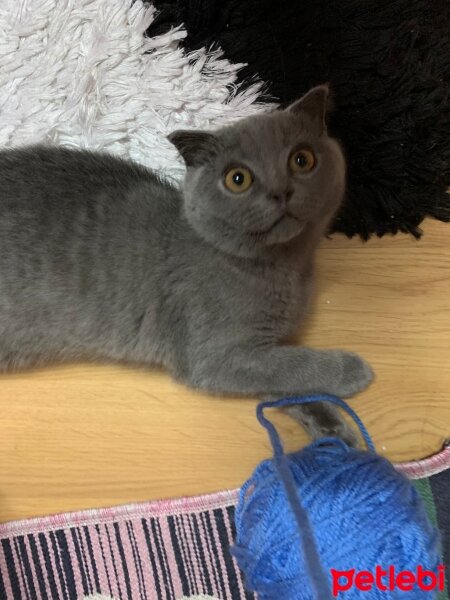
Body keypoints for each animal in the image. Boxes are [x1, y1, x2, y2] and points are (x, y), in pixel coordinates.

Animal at [0, 84, 372, 440]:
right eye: (238, 179)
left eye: (302, 159)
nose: (281, 191)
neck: (287, 269)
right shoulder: (214, 355)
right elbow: (293, 364)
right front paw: (351, 370)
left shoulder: (250, 352)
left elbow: (282, 381)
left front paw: (330, 427)